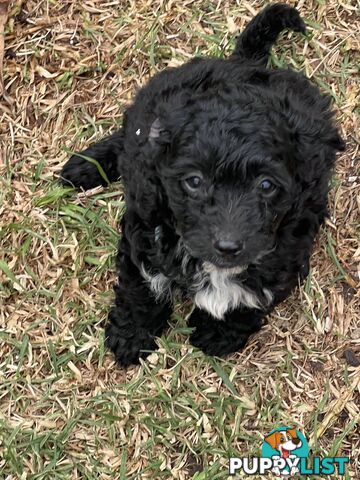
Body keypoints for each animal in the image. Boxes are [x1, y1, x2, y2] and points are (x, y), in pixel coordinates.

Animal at [61, 3, 344, 366]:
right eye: (194, 182)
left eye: (267, 185)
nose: (227, 246)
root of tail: (243, 63)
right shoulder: (144, 226)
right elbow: (140, 285)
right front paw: (131, 335)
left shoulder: (292, 239)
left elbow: (256, 292)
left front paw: (218, 331)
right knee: (125, 137)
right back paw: (85, 166)